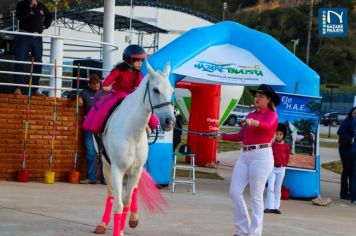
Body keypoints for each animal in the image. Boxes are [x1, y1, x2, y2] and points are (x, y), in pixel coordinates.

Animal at [93, 62, 174, 236]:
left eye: (171, 90)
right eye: (155, 90)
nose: (170, 121)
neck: (132, 133)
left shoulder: (137, 170)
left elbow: (127, 201)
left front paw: (127, 224)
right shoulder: (117, 169)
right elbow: (118, 204)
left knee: (134, 190)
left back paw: (134, 218)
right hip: (106, 165)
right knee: (111, 194)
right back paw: (102, 224)